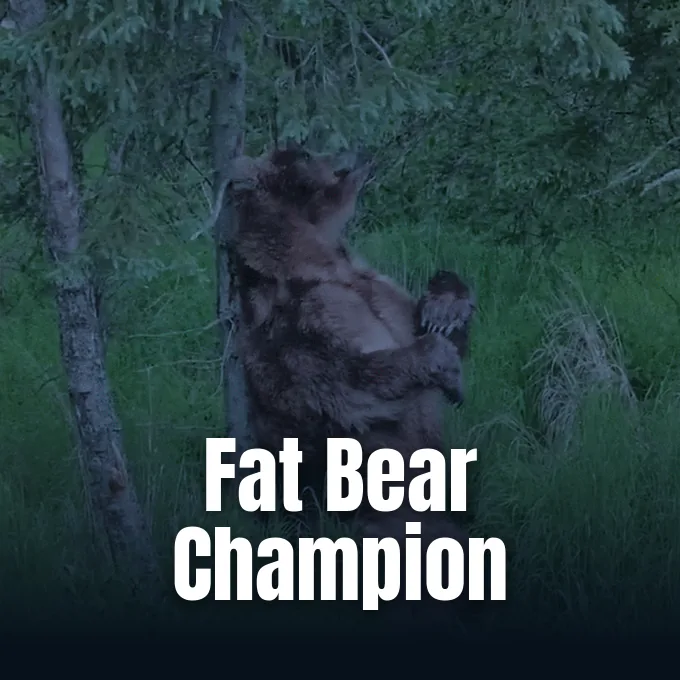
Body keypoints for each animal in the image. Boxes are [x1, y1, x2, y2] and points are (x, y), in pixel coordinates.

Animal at [226, 142, 476, 618]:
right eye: (303, 150)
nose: (359, 151)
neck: (321, 263)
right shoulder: (300, 328)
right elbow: (349, 384)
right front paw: (446, 369)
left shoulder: (378, 290)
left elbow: (428, 315)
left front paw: (445, 308)